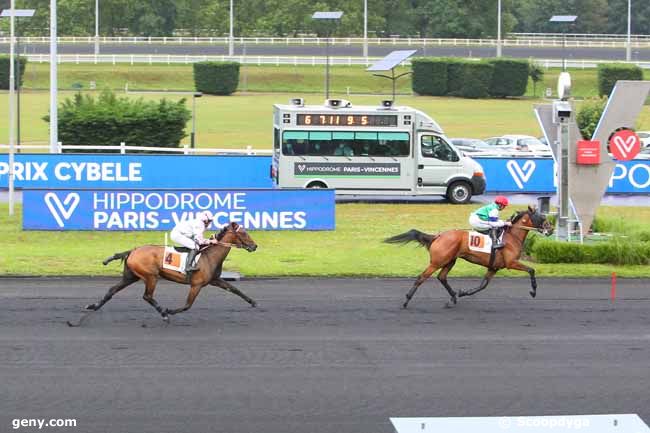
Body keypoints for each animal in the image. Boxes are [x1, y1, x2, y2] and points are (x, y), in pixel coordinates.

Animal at [67, 221, 256, 326]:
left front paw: (253, 302)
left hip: (130, 276)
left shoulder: (215, 280)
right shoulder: (196, 284)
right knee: (147, 296)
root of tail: (132, 251)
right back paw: (164, 314)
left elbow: (235, 289)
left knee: (111, 291)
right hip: (150, 276)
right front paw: (170, 311)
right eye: (243, 233)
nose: (255, 246)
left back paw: (92, 307)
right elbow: (187, 305)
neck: (209, 255)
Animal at [384, 206, 552, 308]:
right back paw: (406, 301)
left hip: (450, 261)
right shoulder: (511, 263)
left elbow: (482, 285)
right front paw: (533, 292)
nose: (550, 229)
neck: (511, 237)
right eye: (542, 217)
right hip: (437, 261)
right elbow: (531, 270)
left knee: (442, 277)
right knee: (422, 277)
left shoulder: (494, 267)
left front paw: (463, 292)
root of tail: (438, 236)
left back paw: (453, 297)